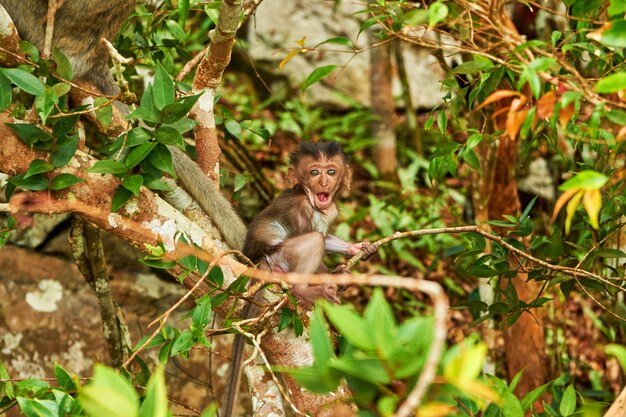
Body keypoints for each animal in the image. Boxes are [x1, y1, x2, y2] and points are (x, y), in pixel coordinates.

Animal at [241, 140, 372, 302]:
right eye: (314, 173)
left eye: (331, 172)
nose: (324, 183)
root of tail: (260, 260)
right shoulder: (301, 209)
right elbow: (316, 238)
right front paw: (336, 275)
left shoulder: (332, 210)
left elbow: (325, 237)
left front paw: (356, 248)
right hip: (280, 257)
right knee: (315, 240)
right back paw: (302, 290)